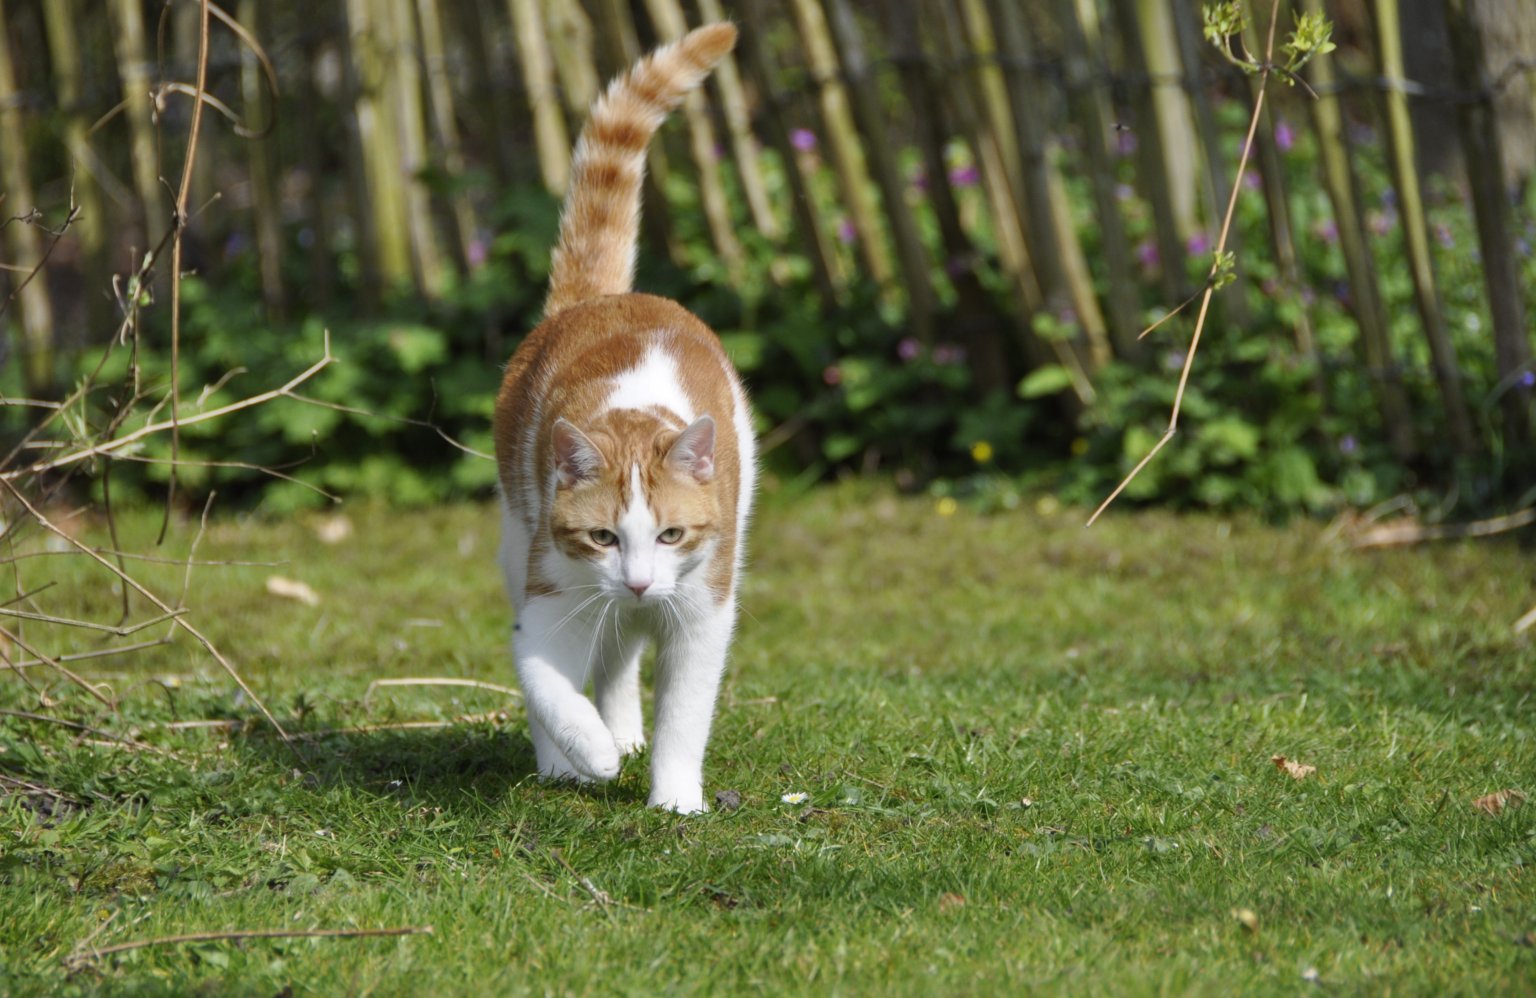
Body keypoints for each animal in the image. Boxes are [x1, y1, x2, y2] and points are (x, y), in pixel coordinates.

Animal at [492, 23, 754, 814]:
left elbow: (685, 713)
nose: (637, 581)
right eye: (603, 536)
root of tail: (598, 299)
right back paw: (569, 759)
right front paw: (590, 751)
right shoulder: (550, 595)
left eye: (670, 533)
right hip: (517, 543)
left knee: (619, 654)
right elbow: (546, 681)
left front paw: (674, 799)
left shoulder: (702, 609)